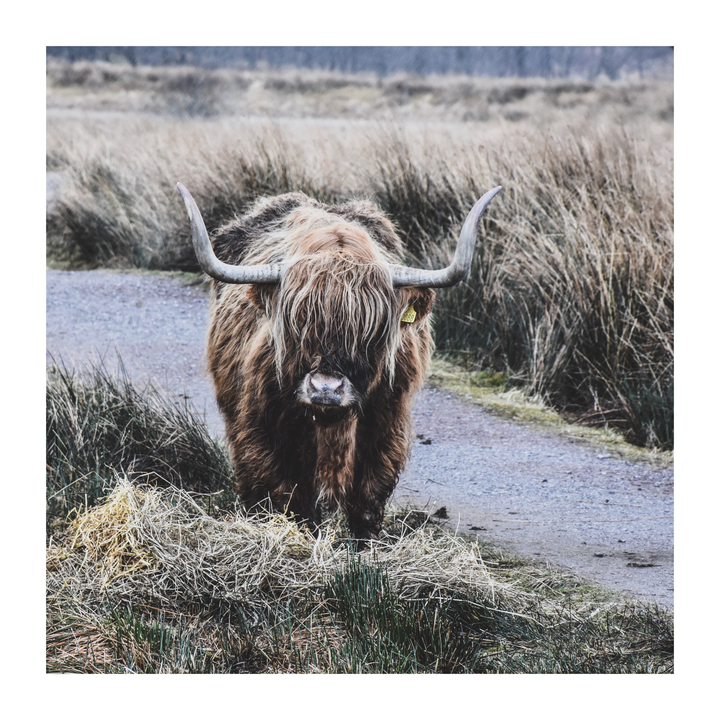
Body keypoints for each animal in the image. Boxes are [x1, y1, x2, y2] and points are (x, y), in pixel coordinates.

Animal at [176, 182, 501, 545]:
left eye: (369, 331)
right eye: (297, 323)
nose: (325, 389)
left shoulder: (386, 427)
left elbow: (367, 498)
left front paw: (365, 547)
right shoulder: (263, 427)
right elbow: (287, 497)